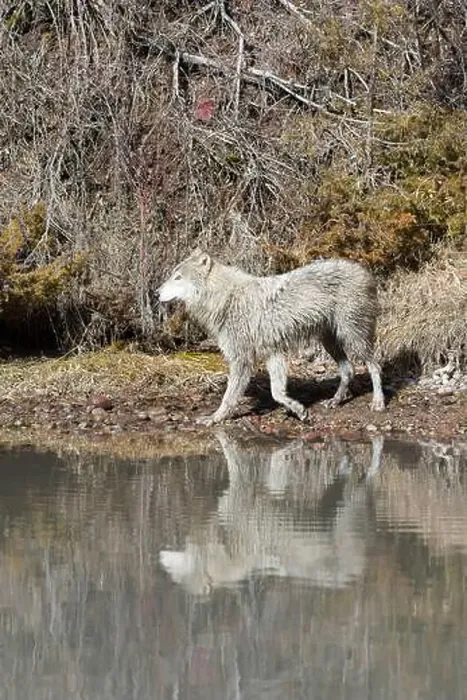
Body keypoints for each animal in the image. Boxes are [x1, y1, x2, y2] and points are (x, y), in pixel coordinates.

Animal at [158, 249, 385, 424]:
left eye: (178, 277)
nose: (155, 293)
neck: (226, 298)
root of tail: (364, 271)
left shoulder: (242, 359)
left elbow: (229, 398)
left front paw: (215, 418)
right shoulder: (273, 353)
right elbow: (277, 393)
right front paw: (298, 410)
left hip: (353, 339)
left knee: (374, 367)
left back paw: (378, 402)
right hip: (330, 341)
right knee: (349, 369)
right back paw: (335, 401)